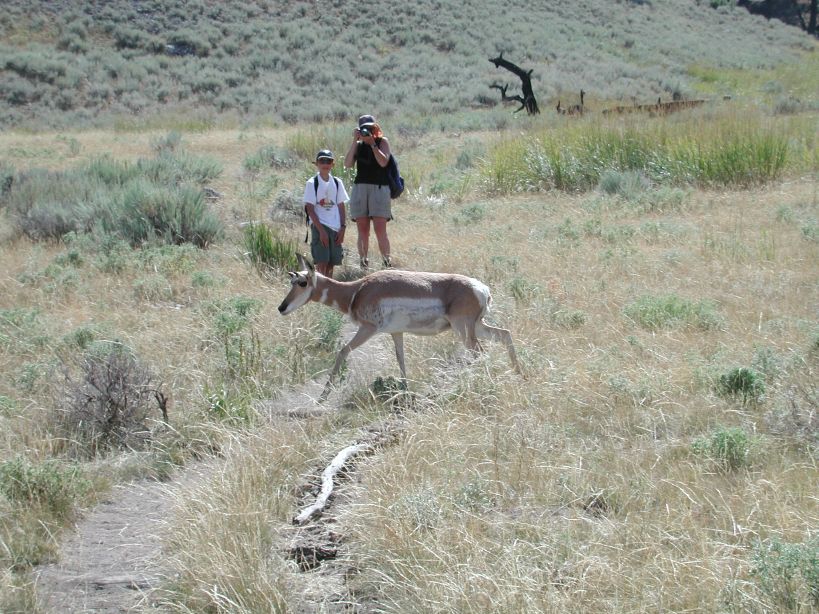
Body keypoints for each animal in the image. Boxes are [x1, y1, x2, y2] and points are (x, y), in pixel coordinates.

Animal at [278, 255, 522, 401]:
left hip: (464, 330)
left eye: (302, 282)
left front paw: (322, 397)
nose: (281, 307)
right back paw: (518, 373)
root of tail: (482, 289)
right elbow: (400, 358)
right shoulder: (396, 332)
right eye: (290, 281)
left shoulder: (368, 329)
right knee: (504, 335)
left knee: (479, 352)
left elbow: (342, 351)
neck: (357, 290)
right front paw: (405, 390)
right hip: (477, 327)